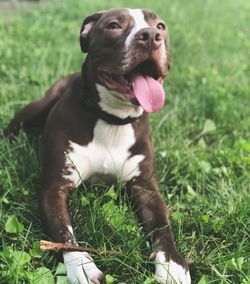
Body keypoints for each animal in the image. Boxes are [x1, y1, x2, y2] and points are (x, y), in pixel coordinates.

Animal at [2, 7, 191, 282]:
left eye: (161, 26)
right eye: (113, 25)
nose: (150, 35)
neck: (112, 120)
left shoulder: (145, 188)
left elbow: (163, 227)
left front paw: (171, 266)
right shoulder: (55, 188)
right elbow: (64, 233)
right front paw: (81, 265)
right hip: (35, 108)